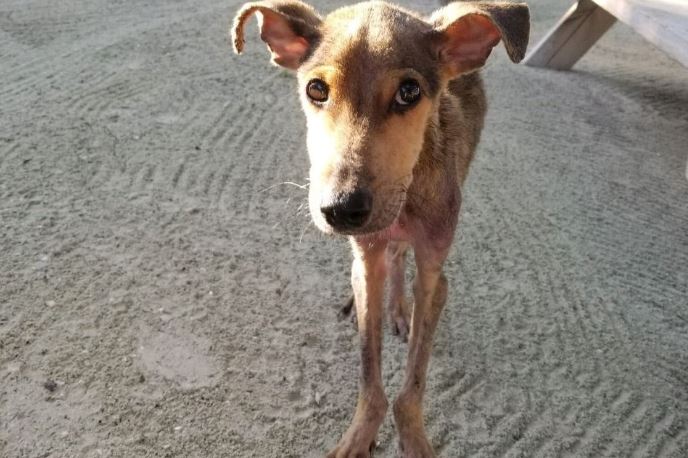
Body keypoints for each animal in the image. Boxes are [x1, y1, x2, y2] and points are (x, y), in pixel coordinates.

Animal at [232, 1, 532, 456]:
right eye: (316, 90)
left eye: (409, 92)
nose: (340, 209)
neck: (405, 200)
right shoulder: (367, 257)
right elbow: (369, 373)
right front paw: (358, 436)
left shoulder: (434, 274)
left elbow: (414, 381)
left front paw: (414, 437)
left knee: (400, 256)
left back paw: (399, 307)